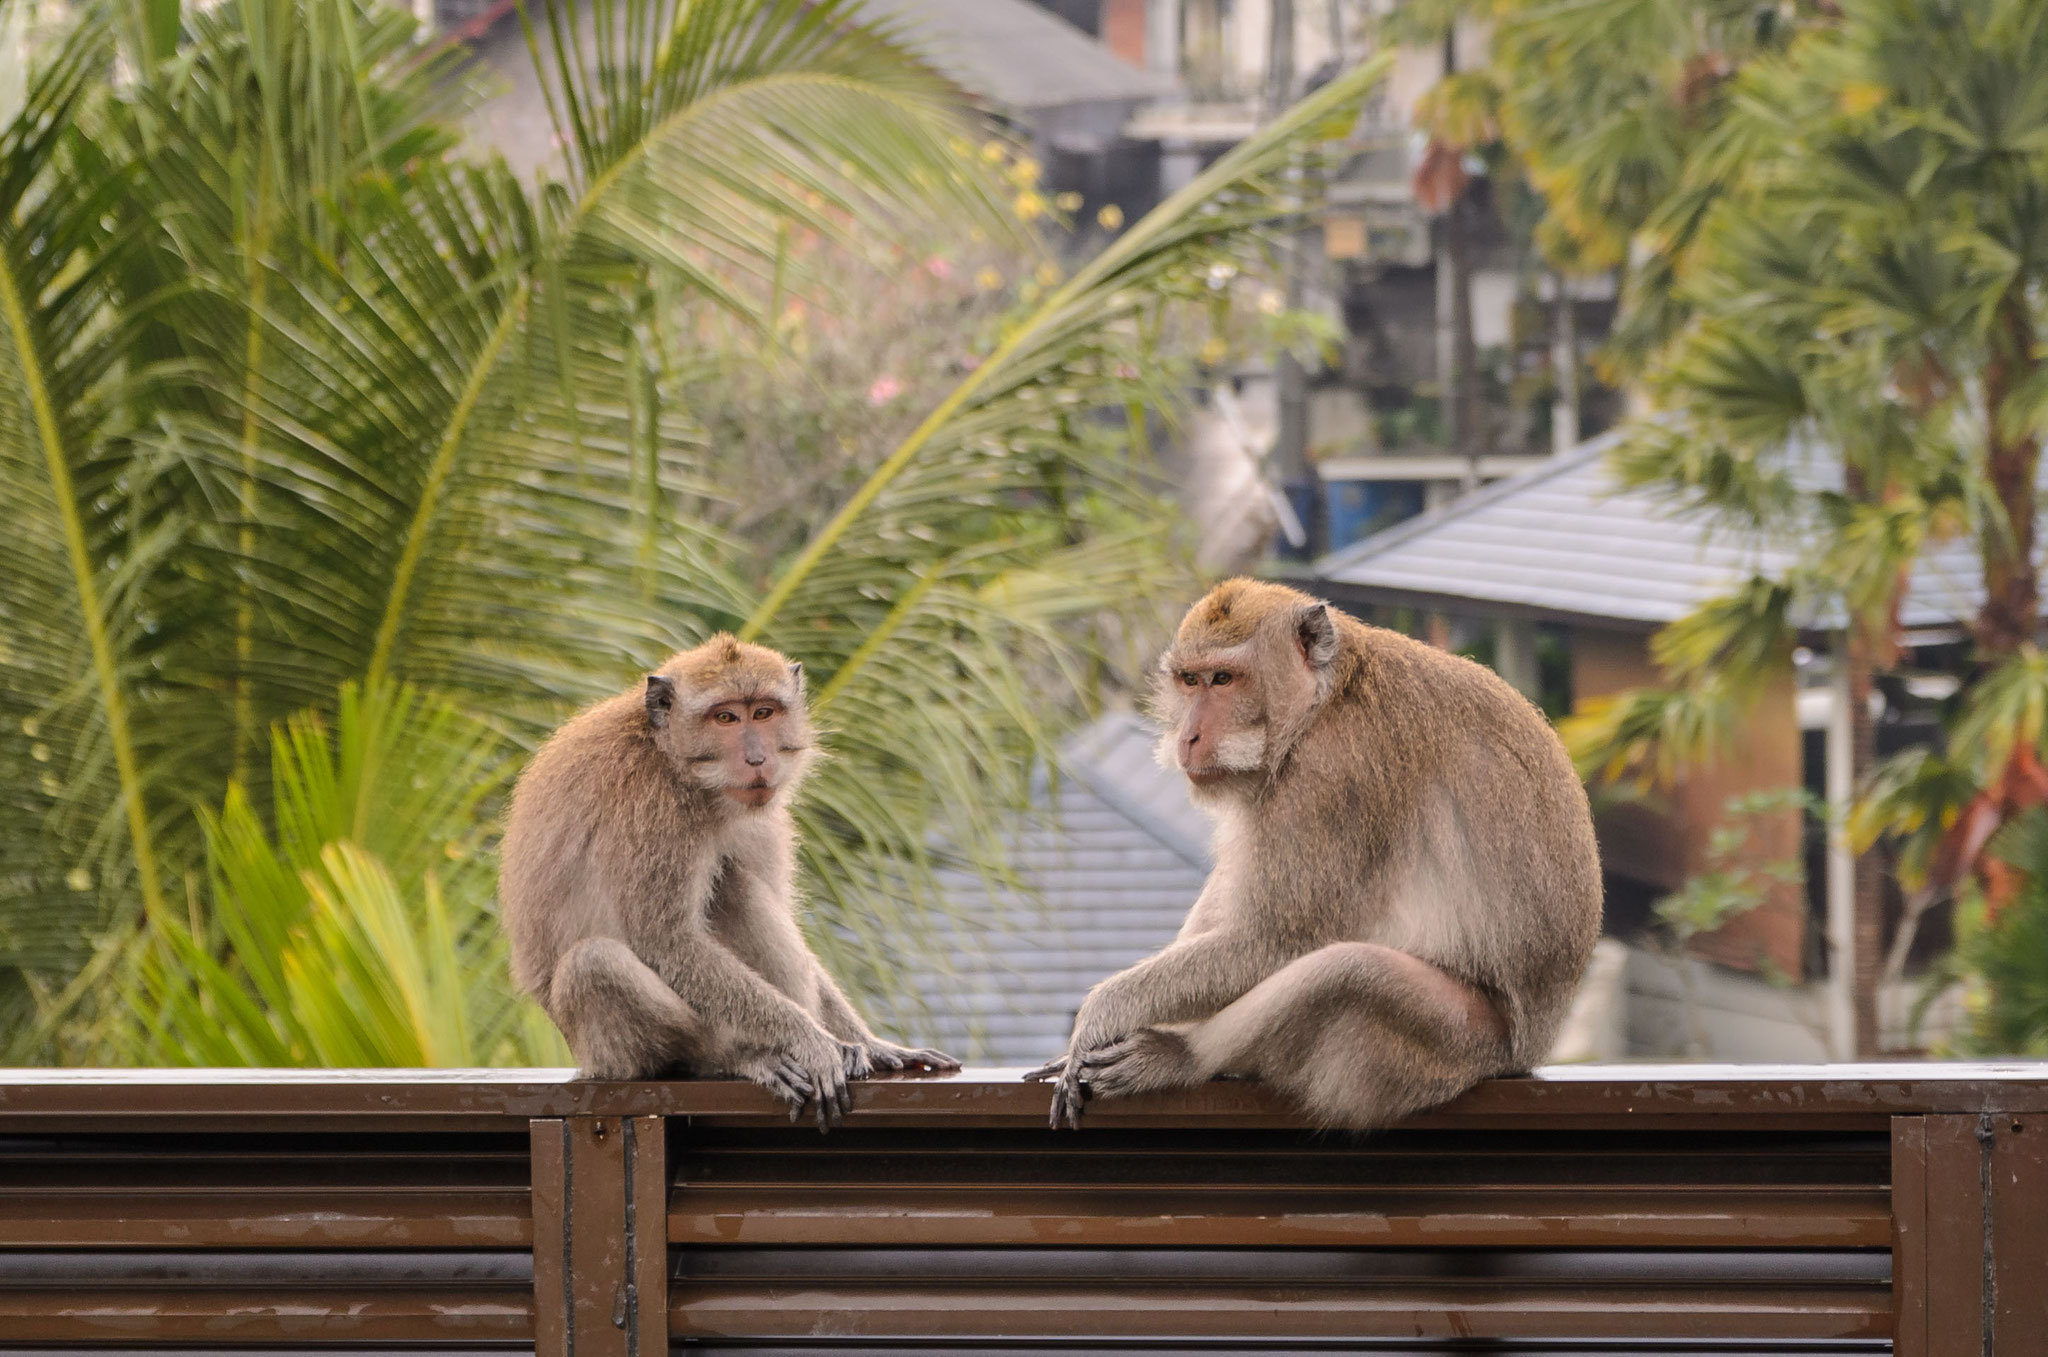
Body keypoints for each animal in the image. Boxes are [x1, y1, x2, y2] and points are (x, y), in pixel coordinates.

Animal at [499, 630, 954, 1129]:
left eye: (763, 713)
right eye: (724, 717)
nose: (757, 758)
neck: (675, 760)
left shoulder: (762, 818)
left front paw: (870, 1043)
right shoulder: (655, 811)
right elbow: (667, 941)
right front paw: (811, 1040)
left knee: (733, 885)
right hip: (606, 1051)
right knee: (596, 963)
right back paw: (736, 1057)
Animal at [1024, 577, 1597, 1129]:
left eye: (1223, 680)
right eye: (1189, 680)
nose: (1188, 737)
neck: (1326, 699)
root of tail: (1529, 1048)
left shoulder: (1333, 774)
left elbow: (1274, 942)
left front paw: (1099, 1016)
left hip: (1458, 1042)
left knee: (1350, 970)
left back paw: (1180, 1056)